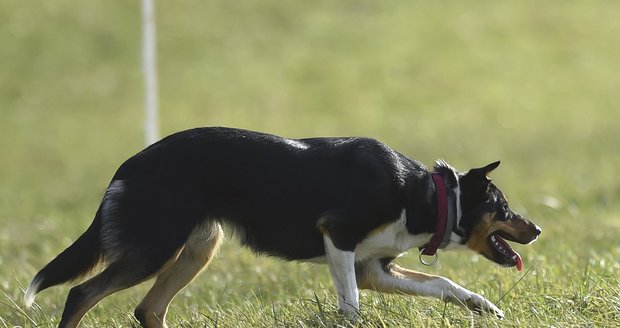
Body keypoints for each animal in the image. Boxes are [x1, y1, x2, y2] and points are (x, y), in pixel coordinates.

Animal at [24, 127, 540, 326]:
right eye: (504, 206)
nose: (536, 230)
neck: (427, 195)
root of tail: (130, 164)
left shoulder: (375, 268)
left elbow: (444, 283)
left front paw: (484, 306)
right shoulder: (338, 235)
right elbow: (350, 307)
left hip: (197, 248)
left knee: (147, 309)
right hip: (154, 247)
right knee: (81, 294)